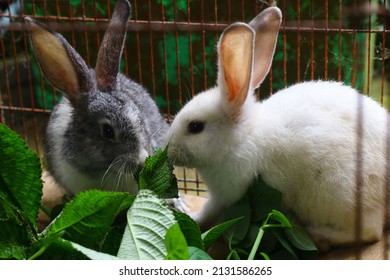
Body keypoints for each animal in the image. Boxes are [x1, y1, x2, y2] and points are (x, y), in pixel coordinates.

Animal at [167, 6, 390, 249]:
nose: (167, 149)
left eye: (195, 127)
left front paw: (189, 215)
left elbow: (209, 213)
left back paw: (318, 235)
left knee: (369, 233)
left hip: (342, 195)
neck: (242, 138)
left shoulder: (227, 194)